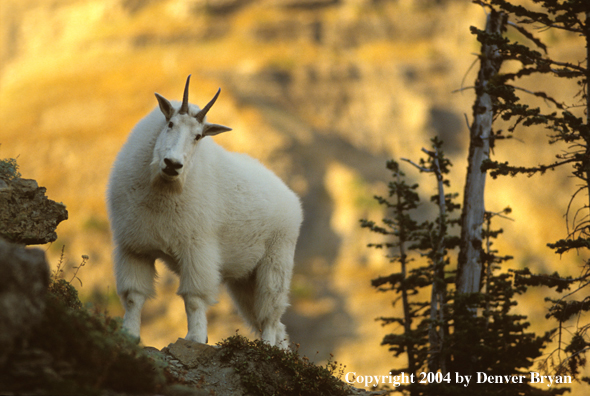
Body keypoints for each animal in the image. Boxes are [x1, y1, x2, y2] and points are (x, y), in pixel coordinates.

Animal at [106, 76, 302, 348]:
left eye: (198, 136)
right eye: (170, 123)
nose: (172, 165)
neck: (162, 190)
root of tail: (291, 198)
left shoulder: (196, 247)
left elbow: (194, 298)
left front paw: (196, 338)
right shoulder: (134, 248)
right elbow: (134, 295)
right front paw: (130, 335)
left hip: (276, 261)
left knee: (270, 315)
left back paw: (266, 348)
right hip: (244, 279)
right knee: (271, 321)